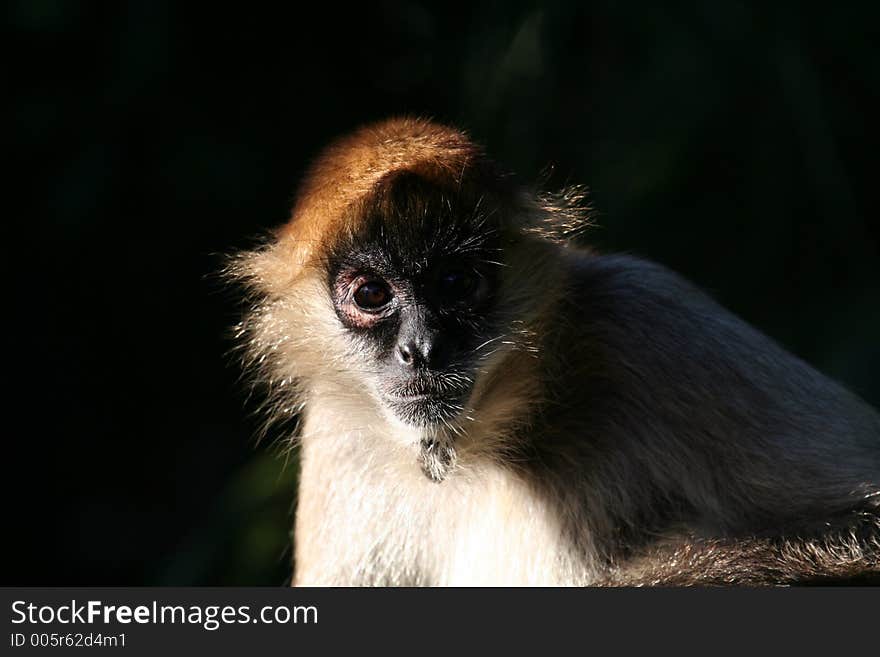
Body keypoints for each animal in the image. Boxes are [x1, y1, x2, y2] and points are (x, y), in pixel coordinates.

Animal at [230, 118, 880, 584]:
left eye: (456, 283)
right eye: (370, 294)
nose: (422, 349)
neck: (481, 449)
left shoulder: (640, 311)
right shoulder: (339, 427)